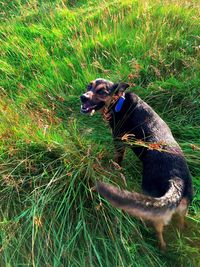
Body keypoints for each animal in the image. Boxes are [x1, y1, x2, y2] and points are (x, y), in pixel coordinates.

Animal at [79, 78, 192, 250]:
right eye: (89, 86)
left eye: (102, 92)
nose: (83, 97)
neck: (119, 102)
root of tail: (176, 178)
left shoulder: (119, 142)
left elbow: (117, 161)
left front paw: (115, 169)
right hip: (182, 209)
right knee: (180, 223)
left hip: (154, 207)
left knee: (159, 231)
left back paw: (159, 245)